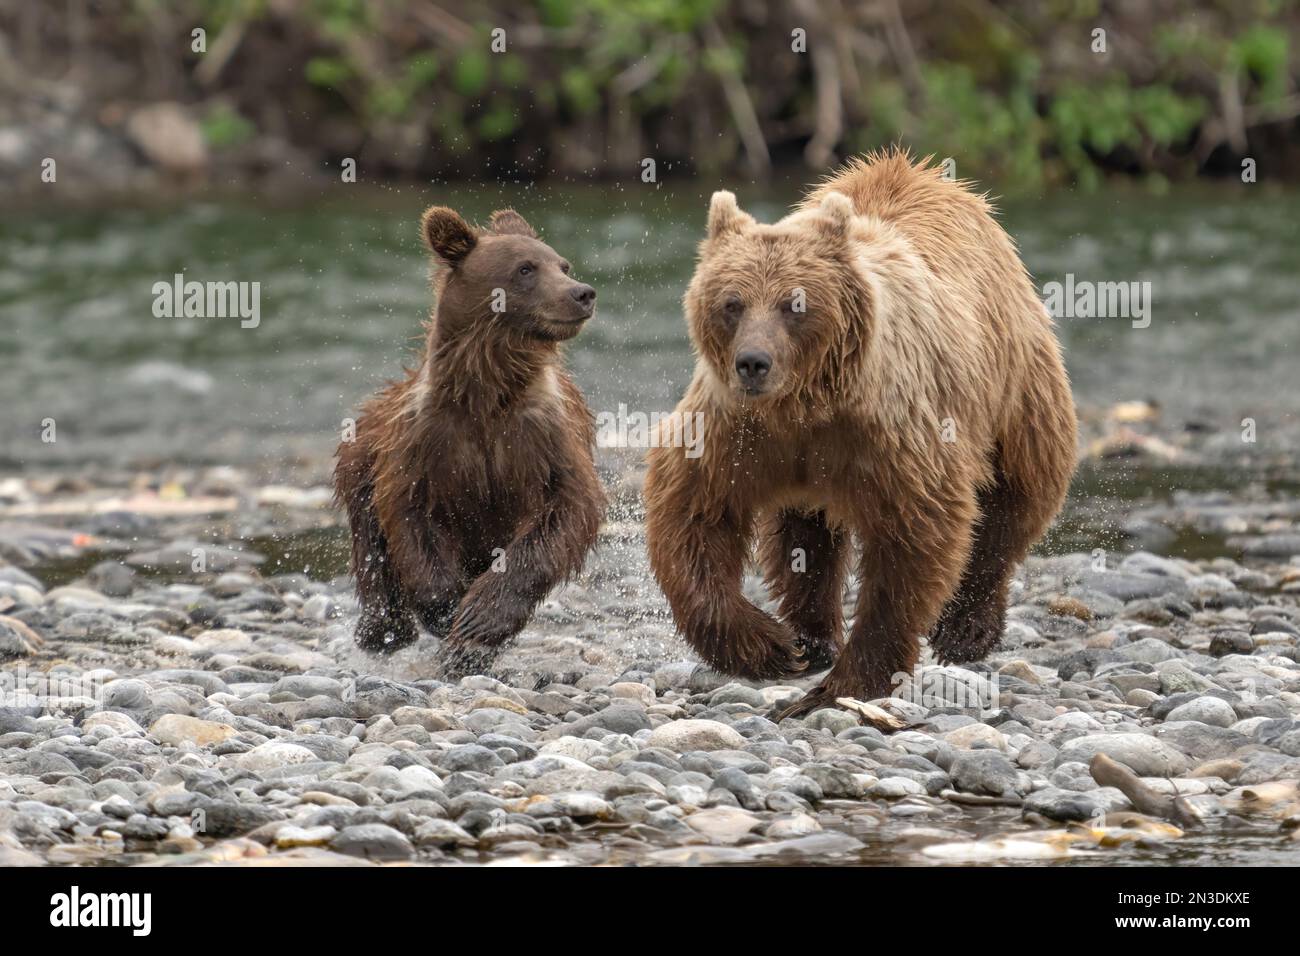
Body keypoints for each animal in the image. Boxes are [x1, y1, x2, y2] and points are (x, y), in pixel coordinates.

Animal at [333, 205, 606, 678]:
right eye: (525, 268)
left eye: (563, 265)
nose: (582, 293)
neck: (487, 390)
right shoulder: (426, 443)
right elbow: (410, 517)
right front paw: (445, 609)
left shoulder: (544, 438)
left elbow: (563, 514)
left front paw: (477, 625)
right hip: (360, 460)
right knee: (373, 551)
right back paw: (382, 629)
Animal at [644, 150, 1077, 717]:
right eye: (732, 302)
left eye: (795, 303)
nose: (753, 363)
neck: (805, 404)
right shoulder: (737, 432)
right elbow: (694, 512)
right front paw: (773, 648)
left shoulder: (891, 433)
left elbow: (914, 535)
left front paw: (844, 684)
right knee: (803, 536)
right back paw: (812, 637)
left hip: (1014, 385)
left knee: (1017, 495)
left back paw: (966, 629)